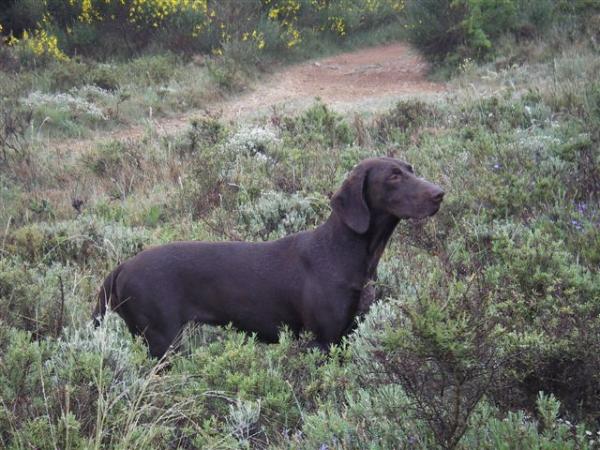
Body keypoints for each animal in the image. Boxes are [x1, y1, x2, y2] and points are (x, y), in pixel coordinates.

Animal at [94, 156, 440, 356]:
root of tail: (120, 267)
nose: (440, 194)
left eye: (410, 170)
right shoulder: (322, 340)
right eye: (393, 176)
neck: (346, 252)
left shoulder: (347, 334)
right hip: (162, 341)